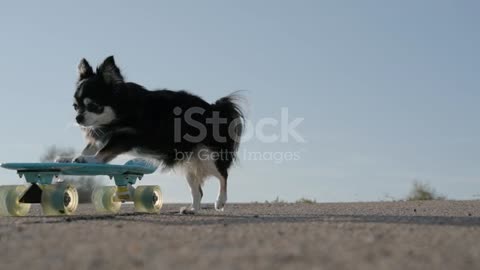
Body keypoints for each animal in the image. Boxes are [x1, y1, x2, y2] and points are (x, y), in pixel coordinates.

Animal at [72, 56, 244, 213]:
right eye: (75, 106)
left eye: (93, 106)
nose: (78, 118)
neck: (122, 108)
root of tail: (214, 108)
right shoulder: (104, 134)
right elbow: (91, 147)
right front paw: (75, 157)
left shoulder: (126, 137)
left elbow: (105, 151)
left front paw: (90, 160)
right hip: (189, 163)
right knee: (198, 191)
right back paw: (193, 209)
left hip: (208, 155)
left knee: (223, 175)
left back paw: (220, 201)